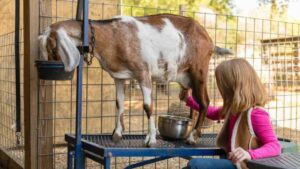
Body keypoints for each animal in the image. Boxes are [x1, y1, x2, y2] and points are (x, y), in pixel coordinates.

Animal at [38, 14, 231, 147]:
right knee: (195, 103)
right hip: (186, 77)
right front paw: (117, 134)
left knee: (205, 102)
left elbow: (148, 106)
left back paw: (192, 137)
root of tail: (208, 37)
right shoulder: (119, 77)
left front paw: (151, 139)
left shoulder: (143, 73)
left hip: (199, 71)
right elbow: (119, 103)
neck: (114, 37)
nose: (47, 65)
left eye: (52, 47)